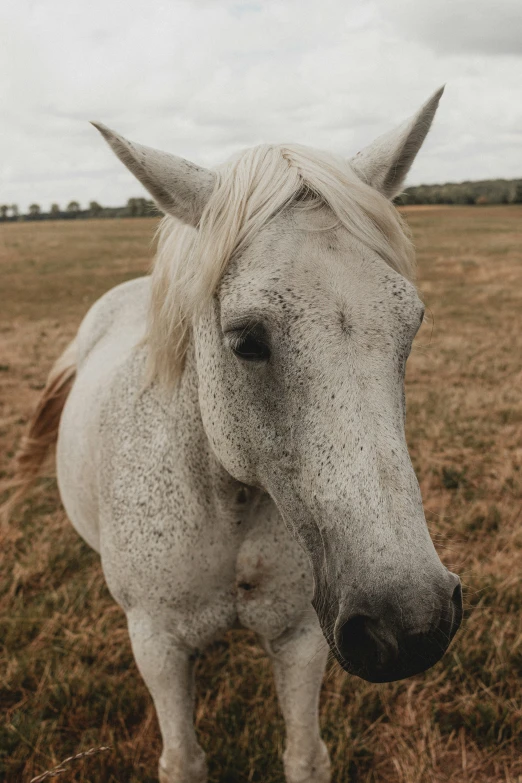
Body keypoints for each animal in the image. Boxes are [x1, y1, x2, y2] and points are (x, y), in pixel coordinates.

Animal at [9, 89, 460, 780]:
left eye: (412, 324)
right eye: (247, 340)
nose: (409, 625)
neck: (229, 508)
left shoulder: (303, 639)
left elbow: (305, 756)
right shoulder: (159, 646)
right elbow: (183, 760)